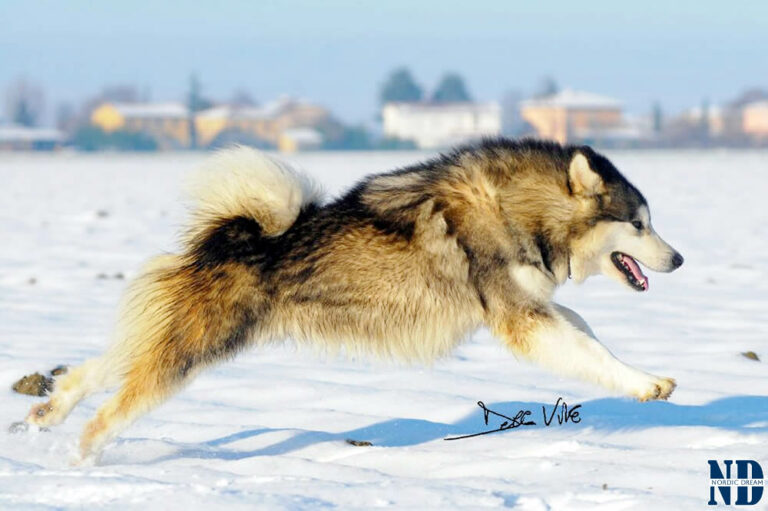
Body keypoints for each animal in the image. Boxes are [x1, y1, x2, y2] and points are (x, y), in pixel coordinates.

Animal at [25, 138, 684, 462]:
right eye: (640, 225)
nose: (678, 260)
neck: (516, 207)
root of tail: (228, 236)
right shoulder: (521, 317)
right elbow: (586, 351)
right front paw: (647, 383)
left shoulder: (535, 306)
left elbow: (587, 334)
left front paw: (641, 376)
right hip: (190, 350)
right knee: (111, 411)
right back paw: (80, 463)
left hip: (167, 337)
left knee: (95, 370)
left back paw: (47, 413)